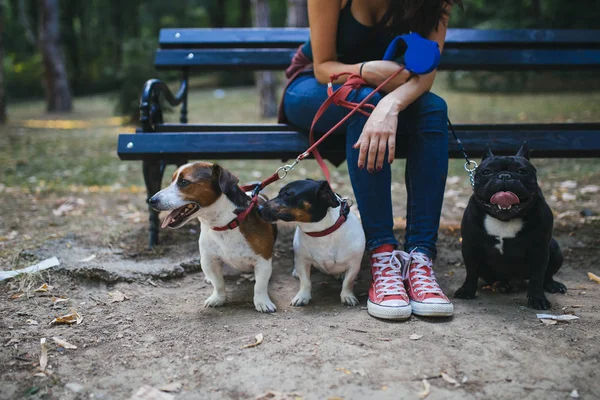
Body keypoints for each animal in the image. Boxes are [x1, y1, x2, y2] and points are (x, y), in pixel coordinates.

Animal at [151, 162, 280, 312]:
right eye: (172, 181)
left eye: (183, 182)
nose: (151, 200)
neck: (225, 224)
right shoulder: (209, 261)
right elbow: (218, 283)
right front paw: (218, 298)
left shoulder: (263, 260)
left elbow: (260, 286)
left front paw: (262, 301)